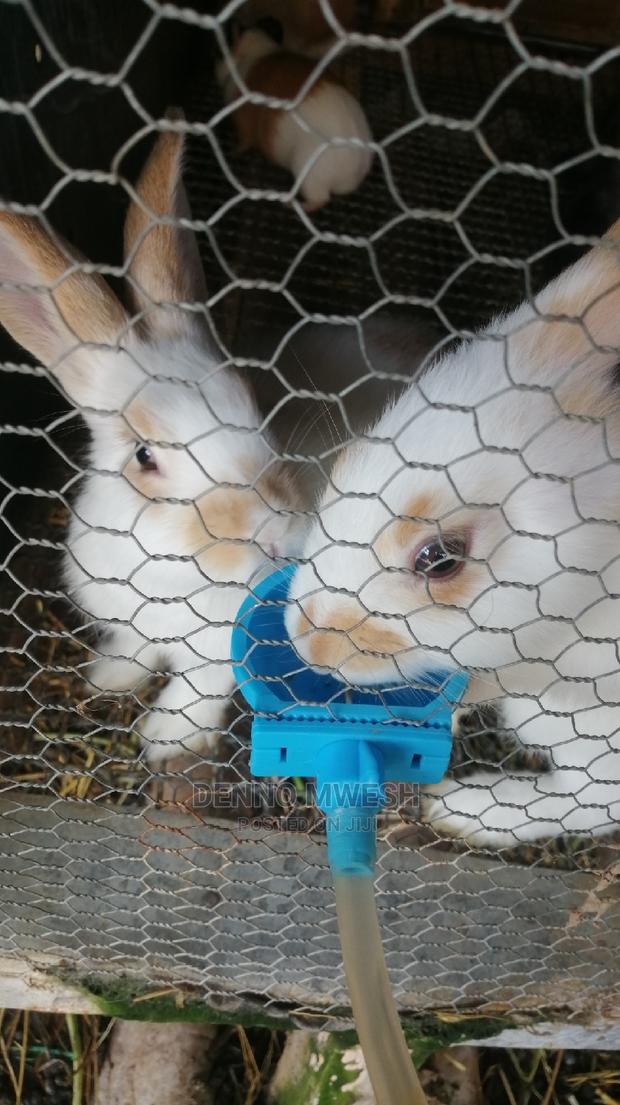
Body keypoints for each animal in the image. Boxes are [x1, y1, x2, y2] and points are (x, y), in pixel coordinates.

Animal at [0, 124, 303, 764]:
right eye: (145, 457)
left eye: (253, 405)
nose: (273, 533)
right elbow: (134, 651)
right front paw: (106, 677)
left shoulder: (220, 650)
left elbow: (196, 690)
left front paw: (164, 740)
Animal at [216, 28, 373, 211]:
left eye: (224, 52)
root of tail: (355, 167)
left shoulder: (243, 128)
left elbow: (243, 143)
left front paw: (233, 152)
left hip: (307, 177)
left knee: (320, 200)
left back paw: (289, 203)